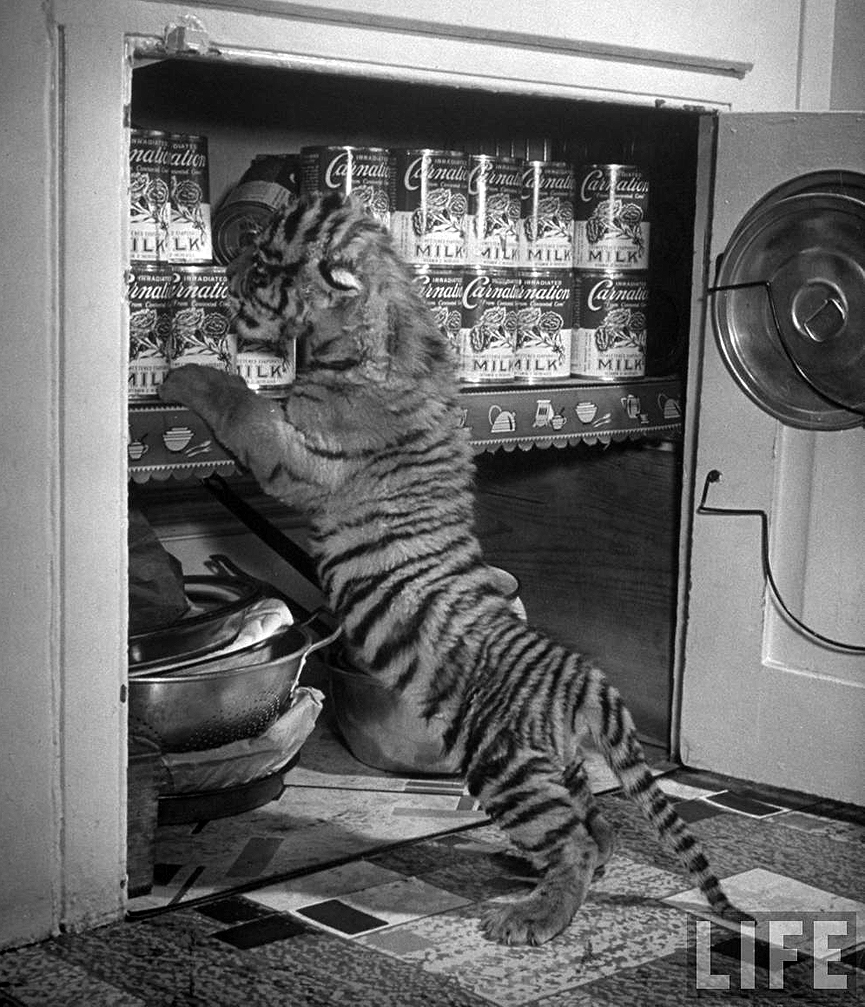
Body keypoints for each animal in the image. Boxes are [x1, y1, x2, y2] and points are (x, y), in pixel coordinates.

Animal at [158, 192, 745, 946]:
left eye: (261, 268)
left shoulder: (298, 453)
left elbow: (243, 405)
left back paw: (530, 918)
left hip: (503, 766)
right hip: (556, 764)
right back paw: (527, 873)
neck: (383, 313)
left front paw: (187, 374)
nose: (224, 291)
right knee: (597, 830)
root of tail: (585, 682)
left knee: (575, 843)